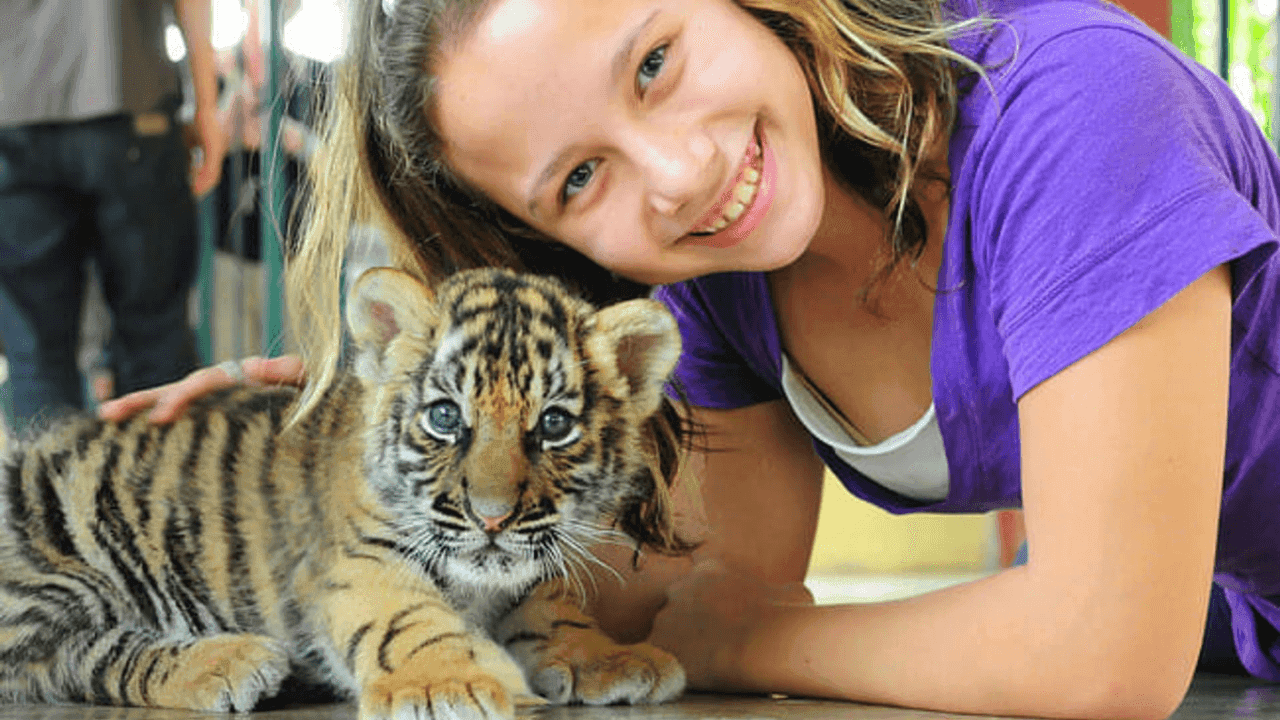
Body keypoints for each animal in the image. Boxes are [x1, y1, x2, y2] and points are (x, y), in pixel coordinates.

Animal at [0, 267, 693, 719]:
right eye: (445, 417)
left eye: (553, 425)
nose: (491, 519)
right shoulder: (359, 562)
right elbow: (409, 618)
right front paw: (448, 683)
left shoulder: (529, 562)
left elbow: (557, 609)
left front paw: (613, 659)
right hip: (58, 567)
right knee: (62, 658)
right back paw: (231, 662)